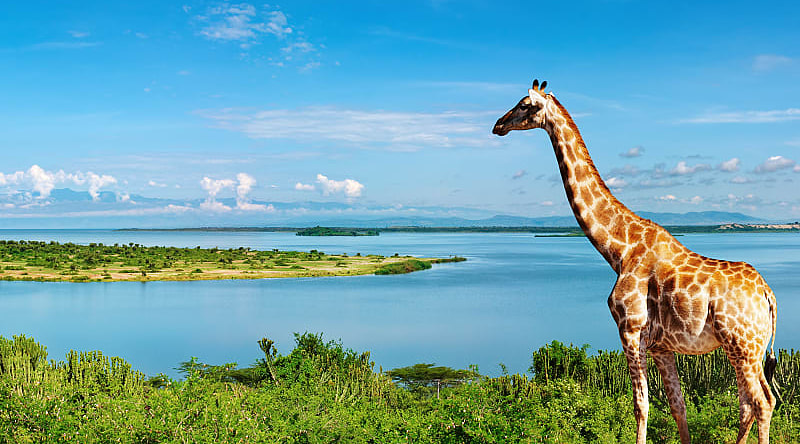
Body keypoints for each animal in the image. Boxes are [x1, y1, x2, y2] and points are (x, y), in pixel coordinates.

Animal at [492, 79, 779, 444]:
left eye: (525, 104)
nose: (498, 125)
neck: (619, 250)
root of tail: (768, 295)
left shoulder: (630, 330)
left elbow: (641, 406)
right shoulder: (661, 347)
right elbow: (677, 406)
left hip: (743, 345)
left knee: (763, 402)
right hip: (744, 348)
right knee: (748, 404)